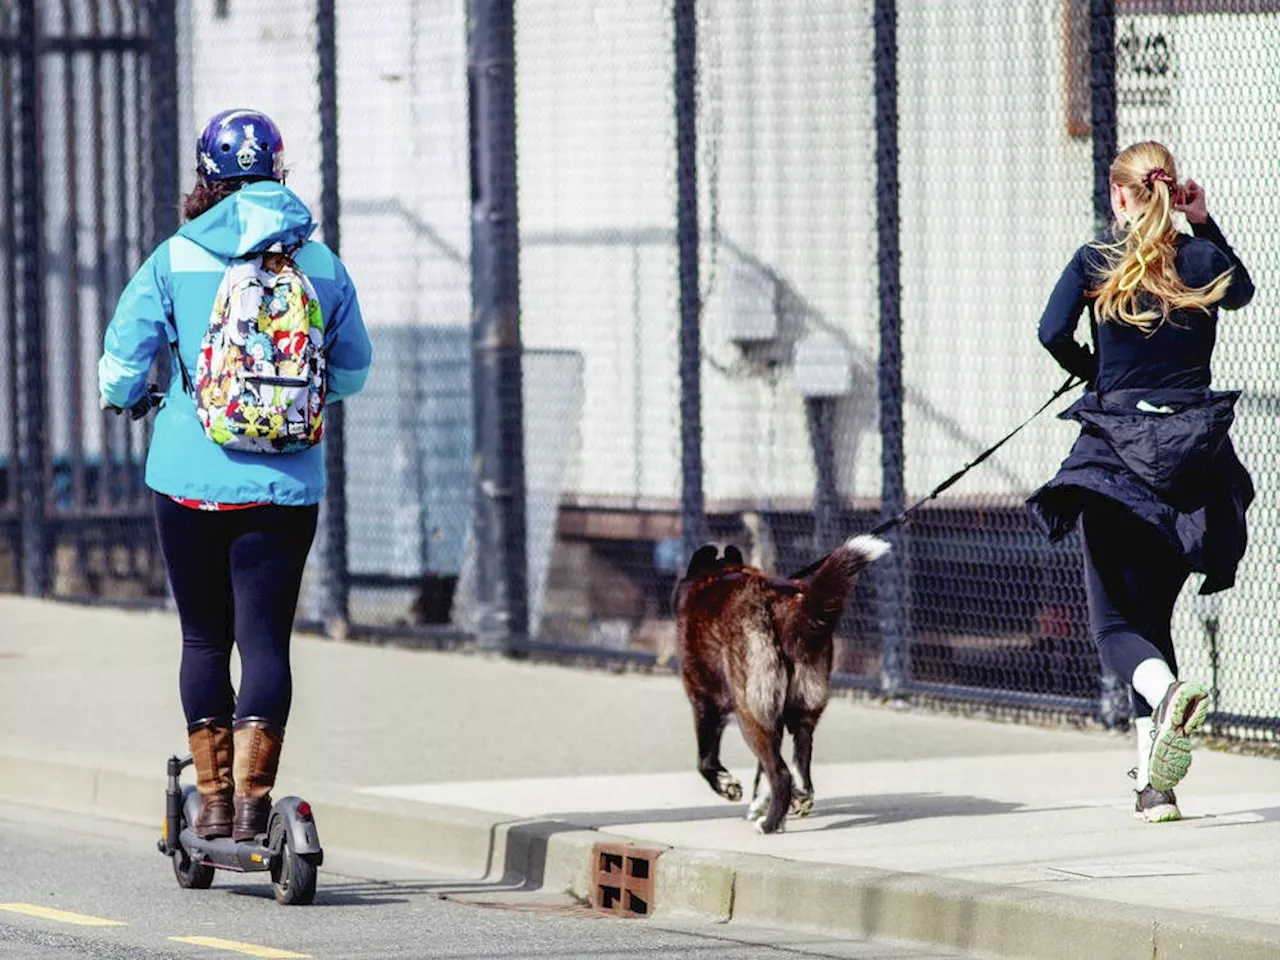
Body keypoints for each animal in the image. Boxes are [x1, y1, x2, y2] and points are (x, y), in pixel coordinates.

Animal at [675, 535, 885, 834]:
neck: (718, 574)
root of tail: (784, 607)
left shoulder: (704, 702)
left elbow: (705, 760)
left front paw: (727, 786)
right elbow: (762, 771)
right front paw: (760, 804)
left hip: (750, 712)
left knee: (781, 772)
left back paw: (769, 824)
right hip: (802, 705)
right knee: (801, 754)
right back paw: (798, 800)